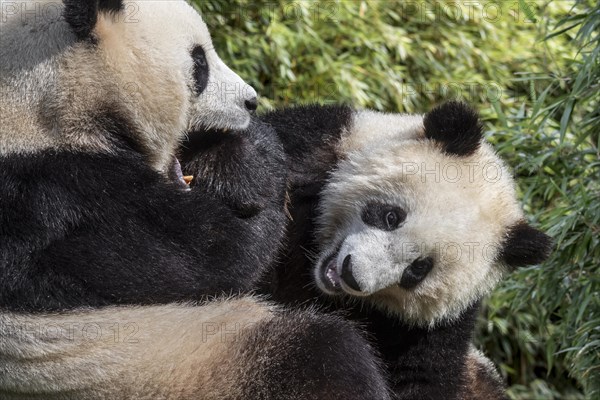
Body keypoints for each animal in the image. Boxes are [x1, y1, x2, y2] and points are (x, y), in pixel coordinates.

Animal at [0, 1, 392, 398]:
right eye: (199, 62)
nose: (251, 101)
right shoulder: (67, 199)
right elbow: (219, 255)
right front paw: (256, 160)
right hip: (171, 361)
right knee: (320, 354)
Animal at [190, 101, 552, 398]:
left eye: (418, 269)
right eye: (392, 216)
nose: (352, 274)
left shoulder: (435, 328)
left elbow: (421, 377)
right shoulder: (317, 145)